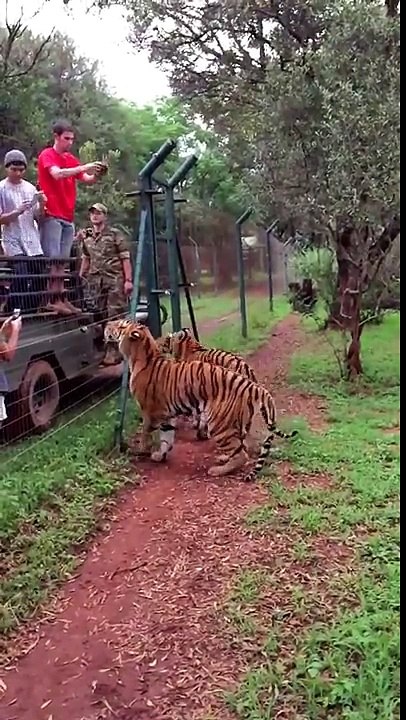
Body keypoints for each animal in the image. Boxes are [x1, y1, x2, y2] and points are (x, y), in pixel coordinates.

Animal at [109, 318, 298, 482]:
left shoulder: (150, 411)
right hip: (238, 421)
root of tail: (253, 385)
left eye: (122, 325)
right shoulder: (167, 414)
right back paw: (224, 457)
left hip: (220, 424)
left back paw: (217, 470)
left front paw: (142, 451)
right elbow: (166, 438)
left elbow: (146, 433)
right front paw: (160, 455)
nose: (110, 325)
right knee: (244, 444)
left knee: (241, 454)